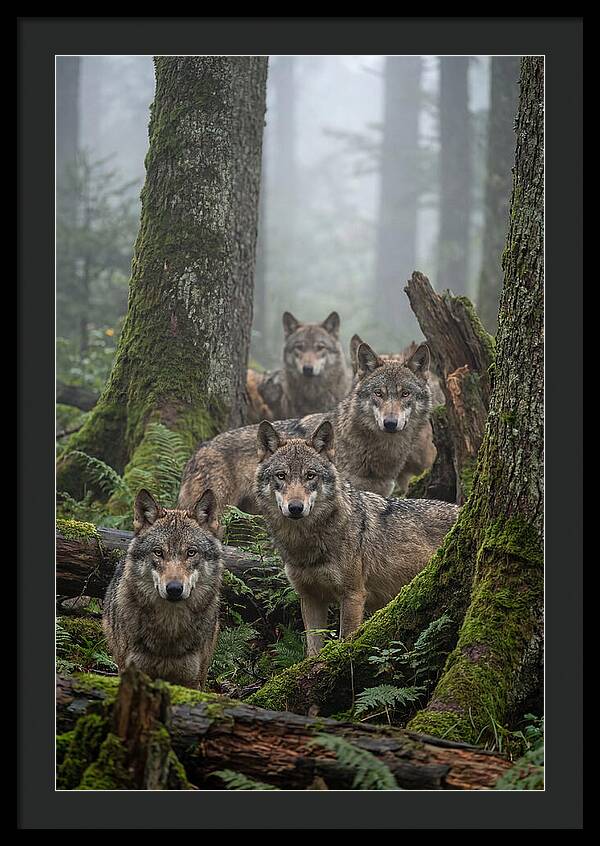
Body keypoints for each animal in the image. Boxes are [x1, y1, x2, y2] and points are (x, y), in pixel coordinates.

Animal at [255, 420, 459, 655]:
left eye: (310, 475)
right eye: (281, 475)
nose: (296, 508)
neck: (305, 544)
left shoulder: (353, 595)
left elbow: (345, 640)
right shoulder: (310, 597)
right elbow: (312, 650)